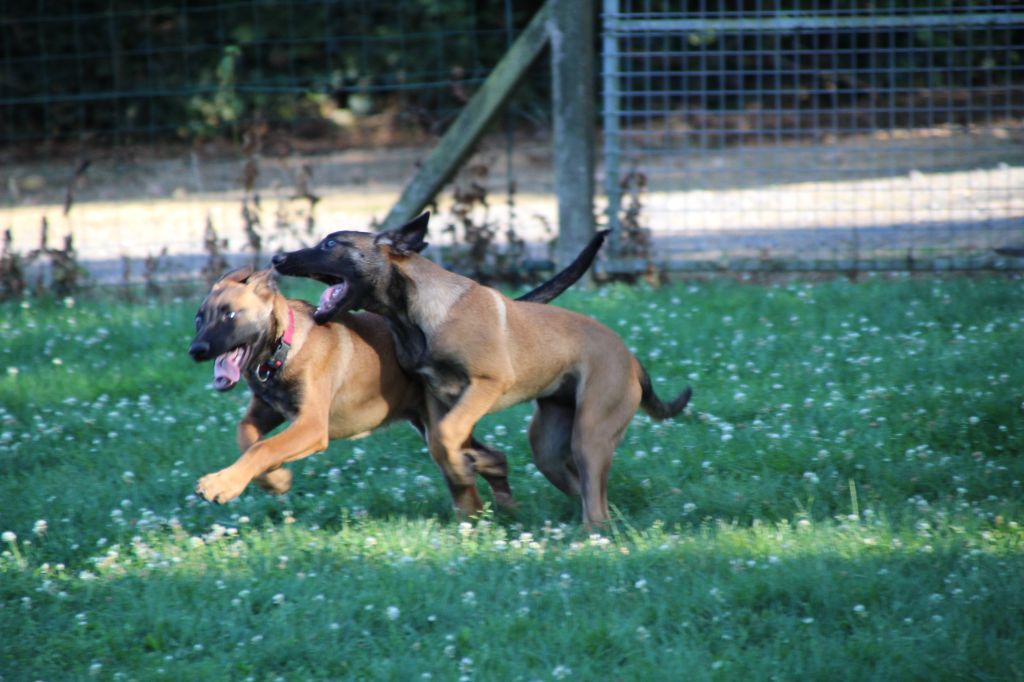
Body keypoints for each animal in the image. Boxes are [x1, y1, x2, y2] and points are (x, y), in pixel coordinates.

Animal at [187, 231, 602, 501]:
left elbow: (263, 449)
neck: (284, 346)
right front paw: (273, 481)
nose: (196, 350)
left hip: (439, 419)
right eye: (199, 318)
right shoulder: (264, 413)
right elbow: (248, 439)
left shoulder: (311, 425)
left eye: (230, 315)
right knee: (491, 458)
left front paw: (221, 484)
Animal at [272, 212, 692, 524]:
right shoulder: (437, 398)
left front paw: (465, 470)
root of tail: (631, 358)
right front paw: (469, 476)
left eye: (330, 244)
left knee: (596, 504)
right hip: (549, 445)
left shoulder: (486, 384)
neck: (414, 316)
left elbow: (448, 436)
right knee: (587, 492)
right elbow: (442, 442)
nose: (277, 259)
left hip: (591, 433)